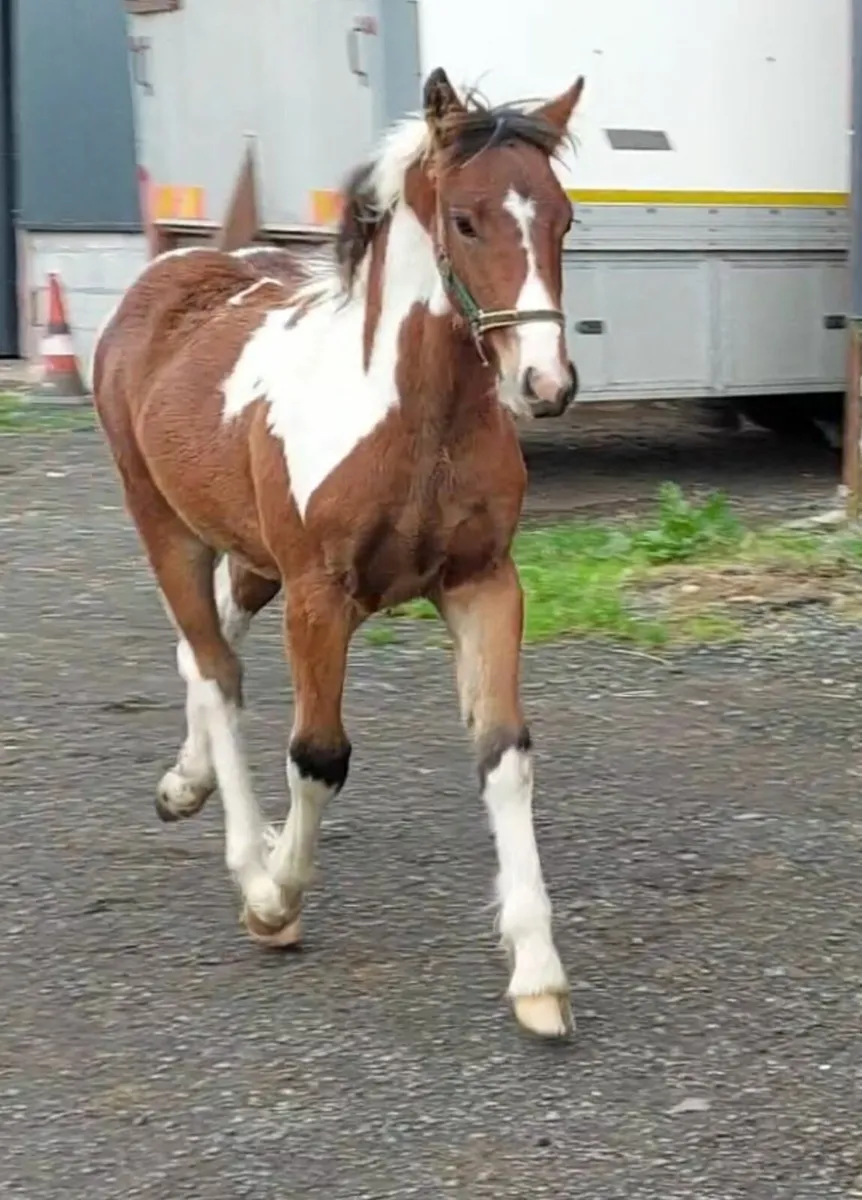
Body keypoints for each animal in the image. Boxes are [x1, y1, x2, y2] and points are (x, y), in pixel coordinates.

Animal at [92, 66, 585, 1039]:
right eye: (466, 220)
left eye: (564, 218)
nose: (544, 384)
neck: (414, 422)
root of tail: (175, 269)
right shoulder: (321, 594)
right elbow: (319, 754)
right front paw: (275, 900)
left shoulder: (484, 582)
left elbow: (505, 752)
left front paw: (538, 975)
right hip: (166, 526)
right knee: (215, 670)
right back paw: (247, 862)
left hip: (249, 554)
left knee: (210, 647)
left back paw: (185, 786)